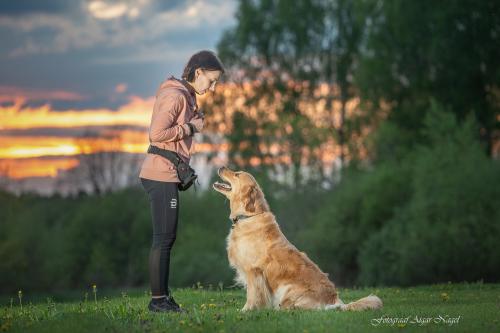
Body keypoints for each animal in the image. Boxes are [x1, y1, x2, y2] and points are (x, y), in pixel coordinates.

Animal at [212, 166, 382, 312]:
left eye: (237, 174)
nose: (221, 167)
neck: (248, 216)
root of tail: (334, 301)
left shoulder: (254, 271)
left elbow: (253, 296)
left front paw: (246, 311)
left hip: (288, 291)